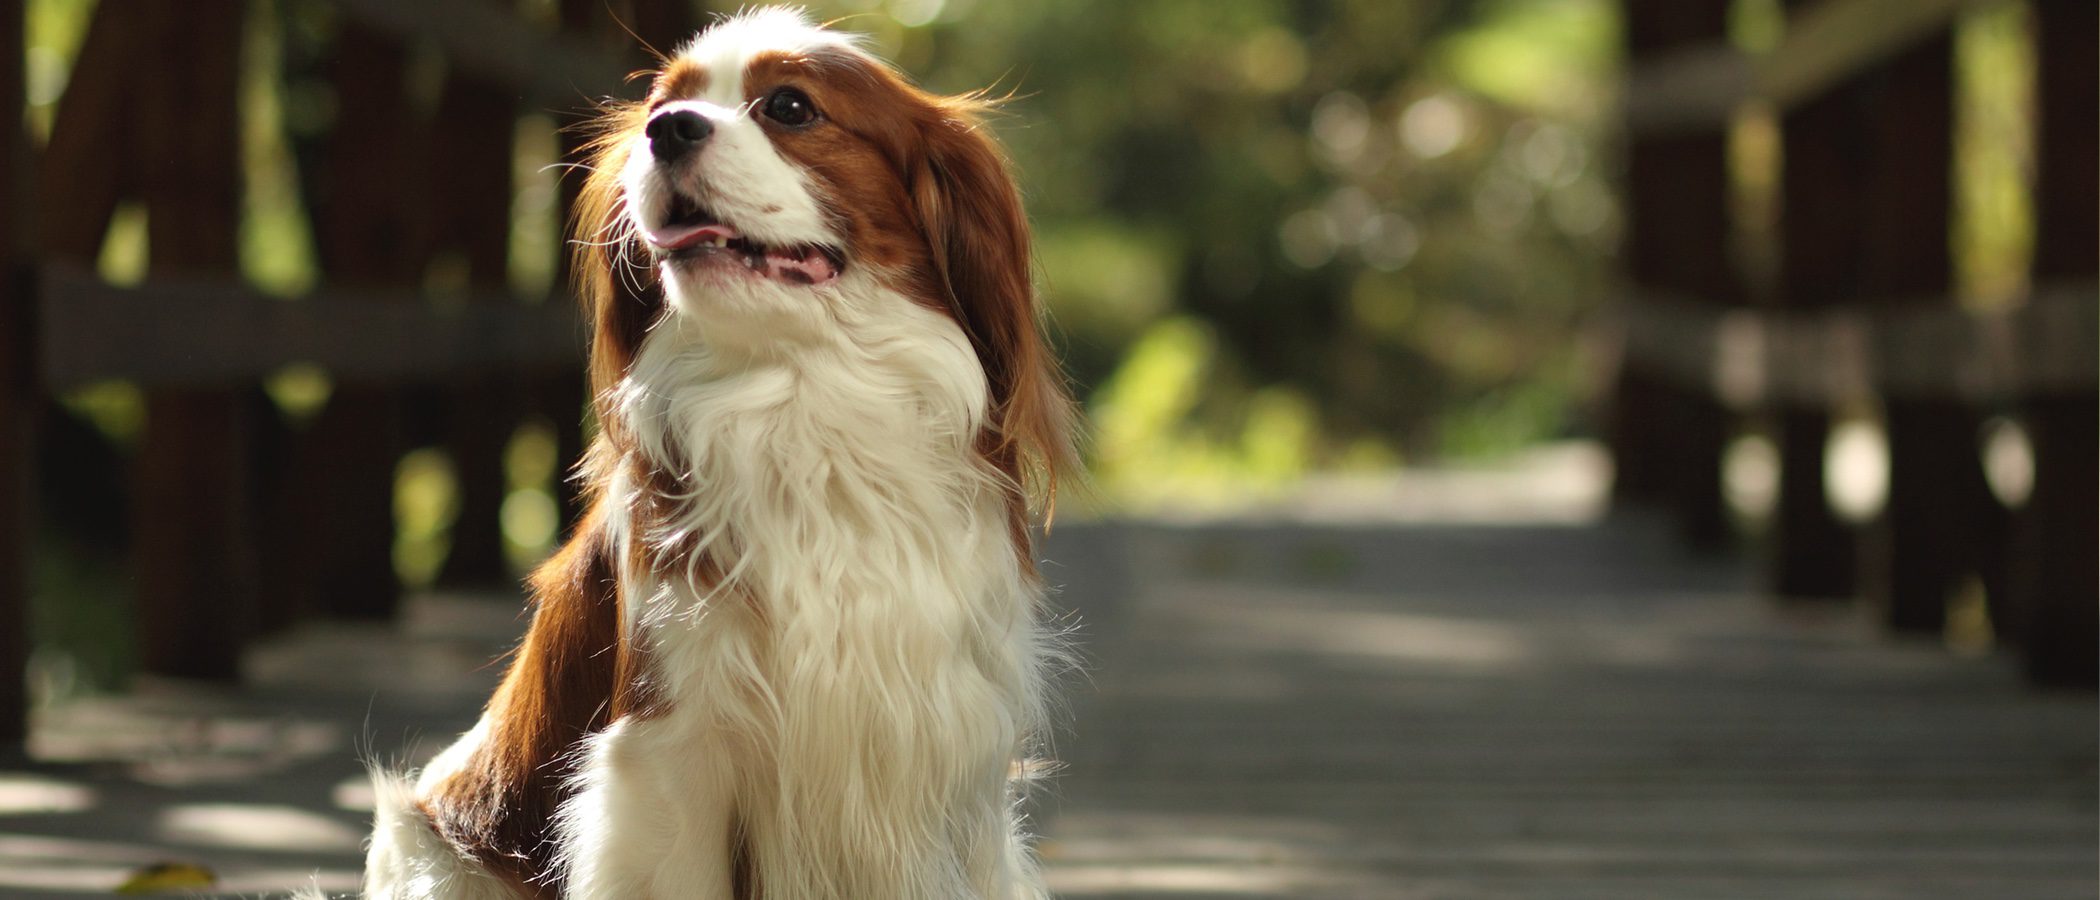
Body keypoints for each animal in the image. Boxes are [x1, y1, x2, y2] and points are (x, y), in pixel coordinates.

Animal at [340, 8, 1083, 897]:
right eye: (663, 106)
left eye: (790, 107)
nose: (666, 130)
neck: (803, 399)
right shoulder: (668, 756)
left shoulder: (956, 758)